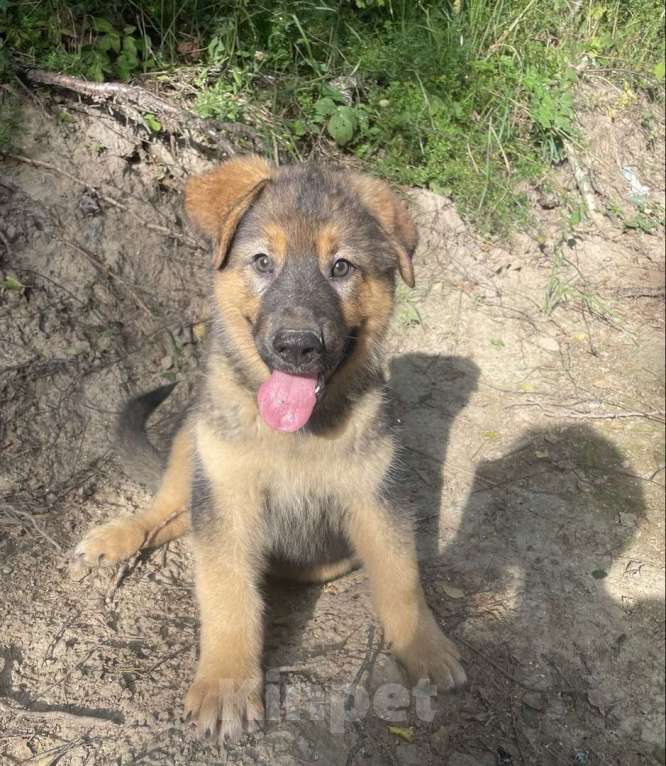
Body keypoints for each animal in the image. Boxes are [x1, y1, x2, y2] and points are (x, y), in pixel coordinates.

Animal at [72, 156, 464, 744]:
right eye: (262, 261)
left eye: (341, 267)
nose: (297, 347)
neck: (297, 436)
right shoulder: (227, 499)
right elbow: (228, 595)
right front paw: (226, 686)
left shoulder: (377, 499)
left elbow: (401, 581)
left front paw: (426, 649)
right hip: (194, 443)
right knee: (166, 509)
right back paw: (118, 536)